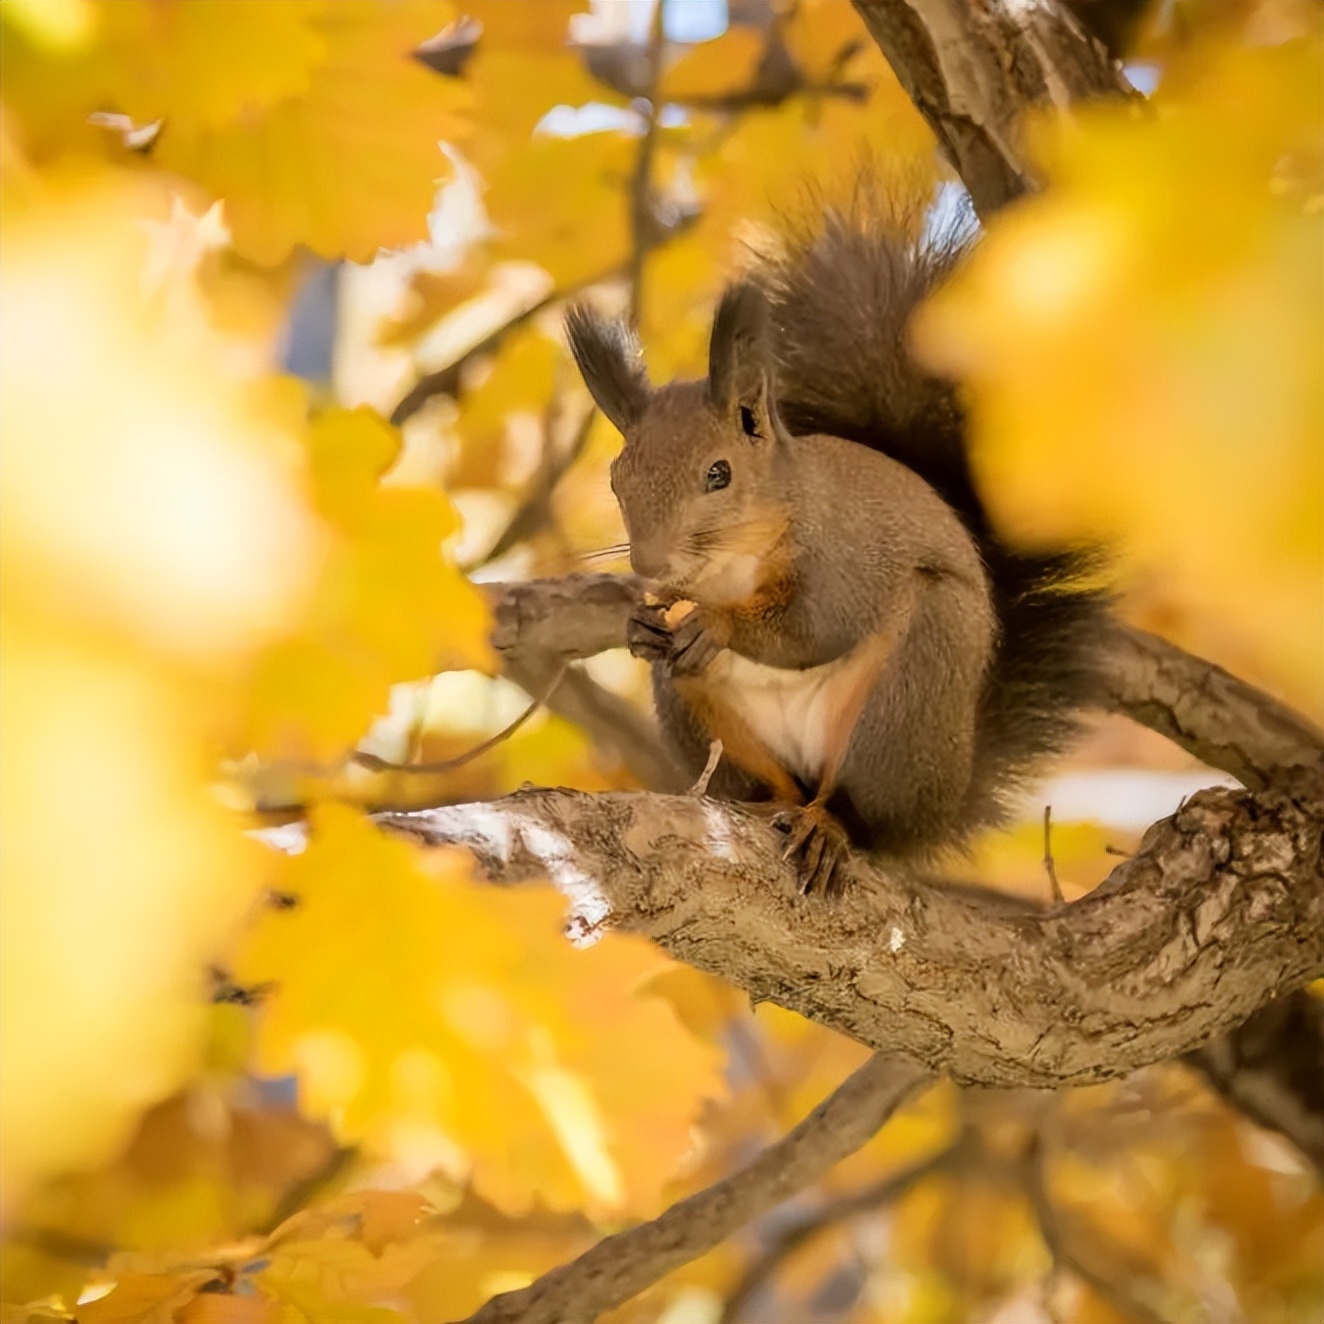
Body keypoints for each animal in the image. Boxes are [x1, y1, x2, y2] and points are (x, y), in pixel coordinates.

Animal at [564, 201, 1112, 895]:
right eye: (617, 478)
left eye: (719, 473)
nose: (648, 565)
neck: (733, 567)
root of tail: (942, 805)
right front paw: (638, 627)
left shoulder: (842, 556)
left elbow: (815, 628)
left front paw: (715, 626)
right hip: (704, 716)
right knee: (767, 780)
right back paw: (766, 803)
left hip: (912, 688)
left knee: (860, 807)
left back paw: (832, 828)